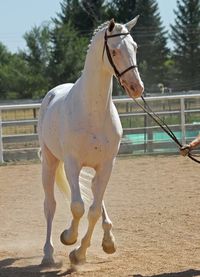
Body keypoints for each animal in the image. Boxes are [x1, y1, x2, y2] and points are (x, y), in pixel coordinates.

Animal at [38, 15, 144, 266]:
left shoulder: (106, 165)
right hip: (50, 162)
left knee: (96, 196)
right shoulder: (72, 164)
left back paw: (108, 240)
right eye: (114, 51)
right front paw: (69, 238)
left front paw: (80, 253)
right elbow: (77, 207)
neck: (92, 110)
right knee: (50, 206)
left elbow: (94, 210)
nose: (136, 87)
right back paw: (48, 253)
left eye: (135, 47)